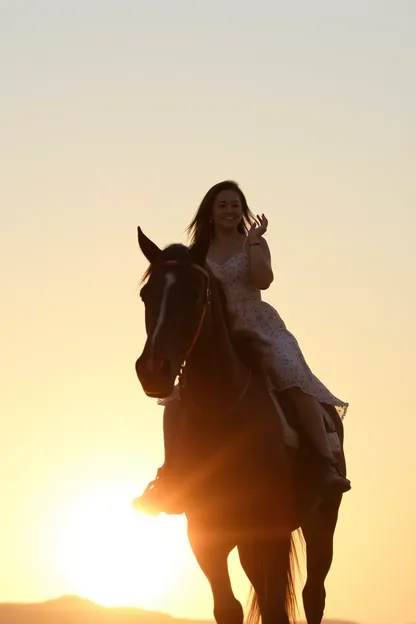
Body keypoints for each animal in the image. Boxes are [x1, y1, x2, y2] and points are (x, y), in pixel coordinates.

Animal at [135, 229, 346, 624]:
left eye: (193, 293)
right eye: (146, 294)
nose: (153, 369)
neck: (222, 412)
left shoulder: (269, 530)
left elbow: (276, 607)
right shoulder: (205, 532)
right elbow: (227, 608)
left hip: (322, 521)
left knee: (313, 595)